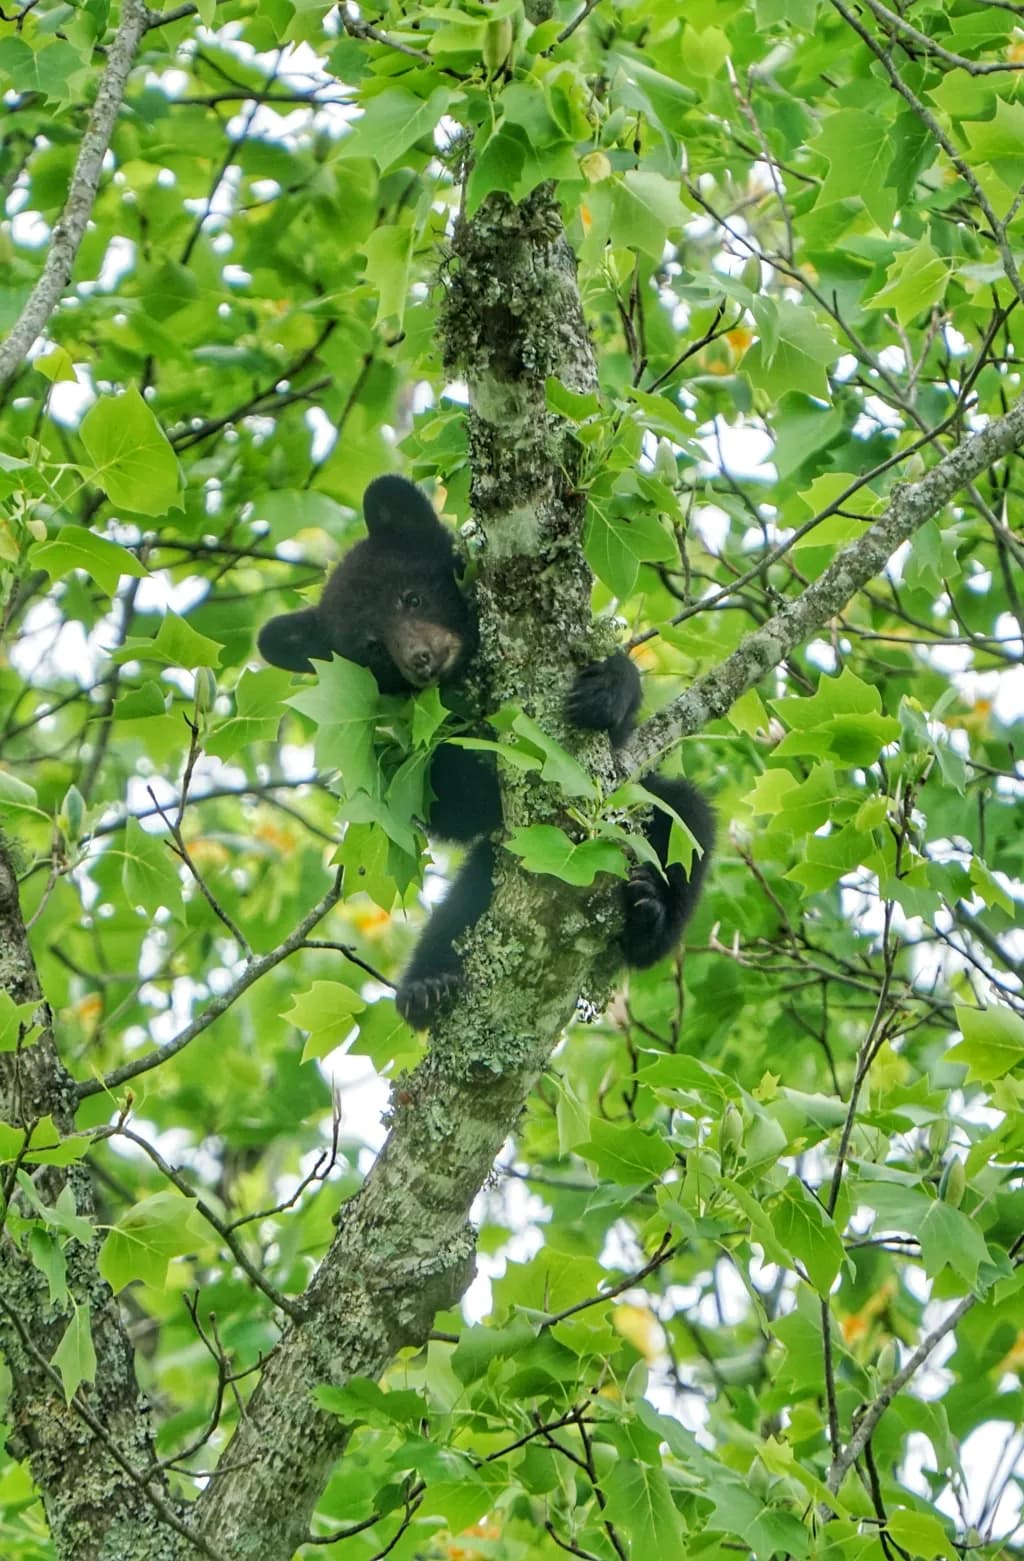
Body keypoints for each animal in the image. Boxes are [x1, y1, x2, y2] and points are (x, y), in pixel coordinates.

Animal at [259, 475, 714, 1029]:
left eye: (411, 598)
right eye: (370, 646)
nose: (421, 659)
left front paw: (607, 688)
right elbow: (446, 801)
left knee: (687, 822)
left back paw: (649, 915)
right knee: (456, 913)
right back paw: (426, 987)